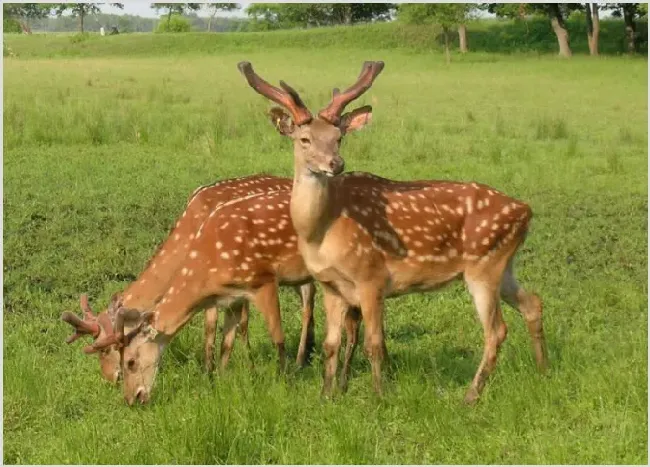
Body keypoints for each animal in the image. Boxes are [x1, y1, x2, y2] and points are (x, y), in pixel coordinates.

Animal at [234, 60, 548, 404]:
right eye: (304, 139)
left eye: (338, 137)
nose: (336, 163)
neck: (322, 232)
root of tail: (526, 210)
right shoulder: (331, 285)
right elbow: (331, 345)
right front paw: (326, 395)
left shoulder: (371, 277)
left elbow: (375, 344)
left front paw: (379, 396)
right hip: (503, 265)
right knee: (533, 303)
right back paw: (543, 371)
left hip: (484, 265)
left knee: (496, 330)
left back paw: (470, 395)